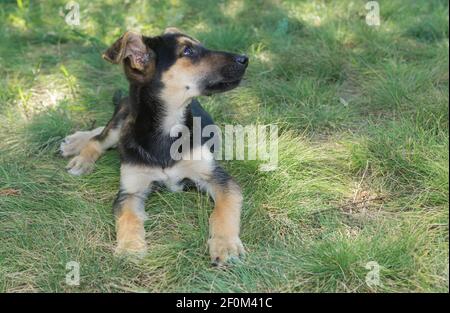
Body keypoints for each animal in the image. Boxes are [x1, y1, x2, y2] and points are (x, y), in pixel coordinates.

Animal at [59, 27, 248, 266]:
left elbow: (223, 211)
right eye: (188, 51)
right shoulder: (131, 190)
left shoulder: (217, 177)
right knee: (101, 138)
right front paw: (130, 248)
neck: (167, 129)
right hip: (124, 116)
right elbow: (129, 217)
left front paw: (225, 245)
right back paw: (81, 155)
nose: (245, 59)